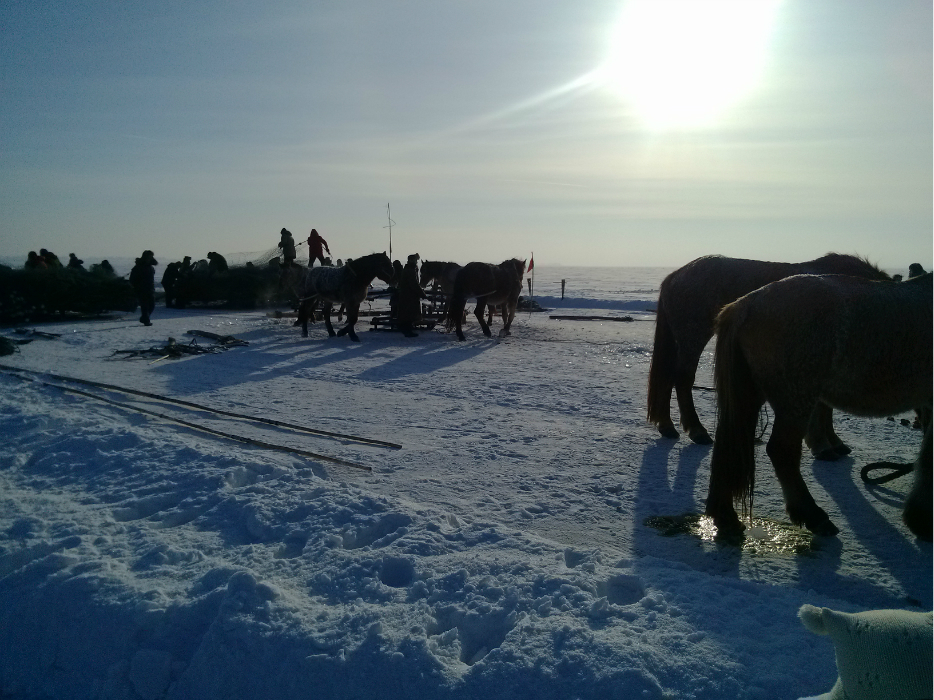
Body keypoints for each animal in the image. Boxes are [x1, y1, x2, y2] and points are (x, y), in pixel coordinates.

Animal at [648, 252, 896, 448]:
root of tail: (675, 276)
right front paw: (823, 444)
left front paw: (833, 441)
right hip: (693, 338)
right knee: (682, 380)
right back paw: (697, 430)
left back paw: (667, 426)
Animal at [704, 274, 932, 540]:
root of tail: (746, 304)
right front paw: (922, 519)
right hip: (795, 402)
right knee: (782, 452)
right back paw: (813, 515)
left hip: (749, 395)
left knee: (727, 446)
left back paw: (725, 516)